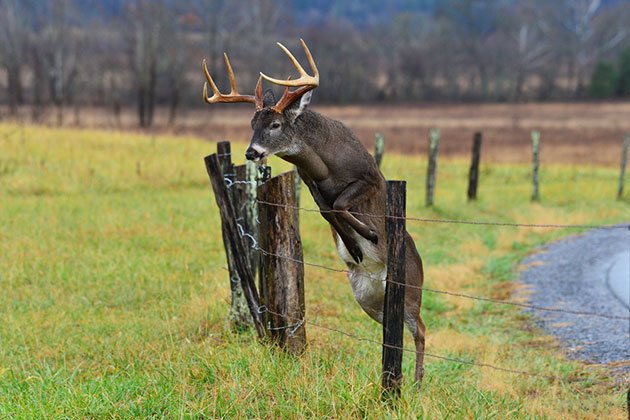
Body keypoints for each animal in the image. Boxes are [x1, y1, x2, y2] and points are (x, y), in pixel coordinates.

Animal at [205, 40, 428, 384]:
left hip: (411, 289)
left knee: (421, 330)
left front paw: (369, 234)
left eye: (275, 124)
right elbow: (328, 211)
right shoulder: (309, 183)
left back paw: (417, 381)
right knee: (398, 330)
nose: (251, 152)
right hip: (369, 299)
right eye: (252, 125)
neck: (324, 165)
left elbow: (340, 205)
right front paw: (354, 245)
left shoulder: (369, 177)